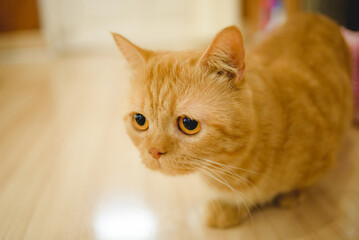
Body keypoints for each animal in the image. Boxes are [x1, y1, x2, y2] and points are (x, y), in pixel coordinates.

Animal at [113, 13, 354, 227]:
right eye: (140, 120)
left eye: (188, 124)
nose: (154, 151)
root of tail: (315, 15)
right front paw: (229, 208)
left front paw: (290, 194)